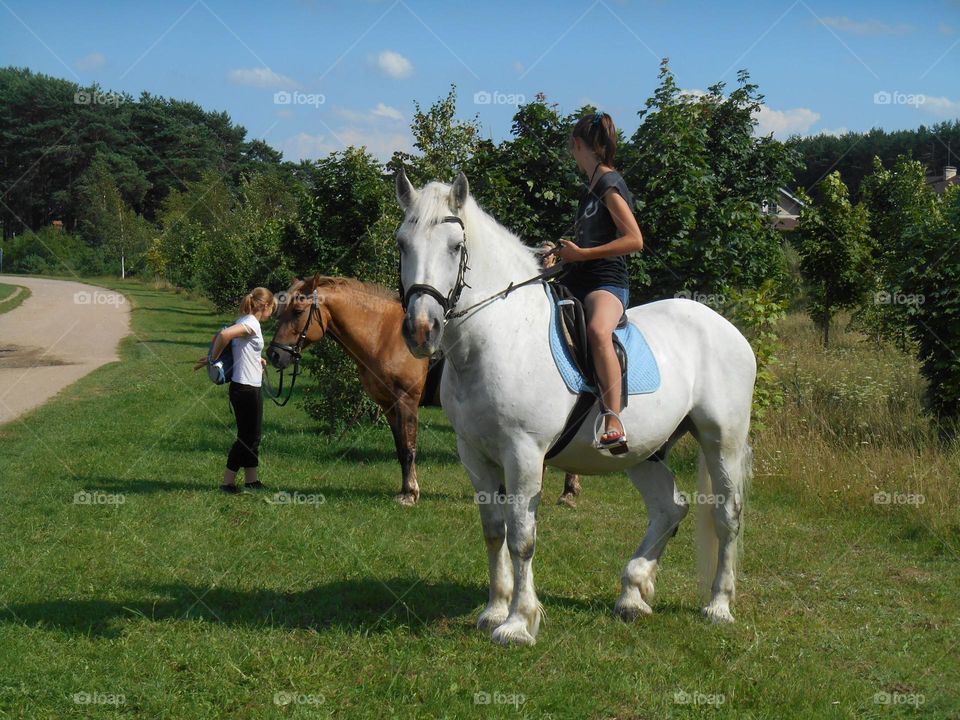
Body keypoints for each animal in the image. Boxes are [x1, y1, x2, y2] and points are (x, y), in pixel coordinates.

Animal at [266, 274, 580, 506]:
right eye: (280, 311)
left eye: (297, 312)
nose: (275, 355)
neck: (384, 334)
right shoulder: (388, 405)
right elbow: (399, 448)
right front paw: (406, 488)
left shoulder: (406, 402)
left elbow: (409, 448)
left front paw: (410, 494)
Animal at [394, 169, 752, 648]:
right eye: (402, 243)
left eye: (455, 246)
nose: (421, 329)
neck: (500, 336)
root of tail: (726, 327)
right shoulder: (475, 454)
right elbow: (493, 531)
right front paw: (493, 611)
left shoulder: (524, 454)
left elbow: (521, 537)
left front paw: (517, 623)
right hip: (644, 451)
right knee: (669, 508)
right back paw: (633, 594)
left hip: (721, 441)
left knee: (726, 516)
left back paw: (718, 605)